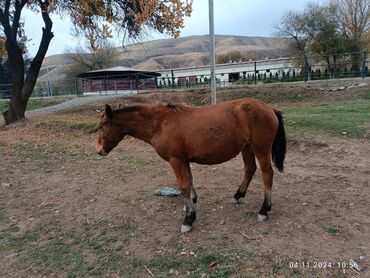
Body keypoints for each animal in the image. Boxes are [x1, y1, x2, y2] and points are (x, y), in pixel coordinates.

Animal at [96, 97, 286, 232]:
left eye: (101, 126)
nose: (98, 150)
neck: (161, 123)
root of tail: (270, 108)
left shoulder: (176, 160)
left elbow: (184, 186)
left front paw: (189, 219)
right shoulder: (184, 160)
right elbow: (189, 180)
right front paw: (191, 204)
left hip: (260, 149)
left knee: (267, 174)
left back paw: (264, 210)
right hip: (246, 148)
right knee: (249, 169)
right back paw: (238, 195)